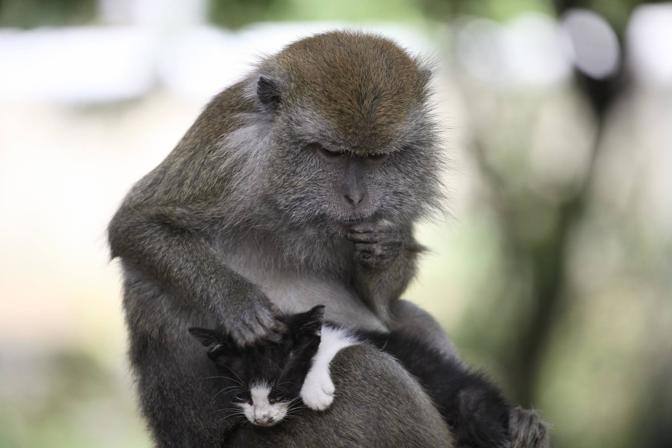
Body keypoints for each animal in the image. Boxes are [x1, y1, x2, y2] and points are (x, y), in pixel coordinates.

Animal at [108, 31, 549, 447]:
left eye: (377, 158)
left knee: (407, 318)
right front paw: (239, 303)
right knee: (365, 366)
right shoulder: (224, 153)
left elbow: (384, 301)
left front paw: (384, 249)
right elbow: (135, 225)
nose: (356, 198)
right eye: (331, 153)